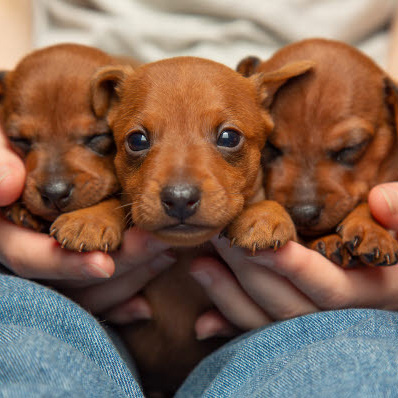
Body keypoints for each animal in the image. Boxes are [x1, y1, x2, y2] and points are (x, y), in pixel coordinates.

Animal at [238, 38, 398, 268]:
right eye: (270, 145)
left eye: (351, 147)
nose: (303, 214)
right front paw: (263, 215)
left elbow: (369, 200)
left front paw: (371, 230)